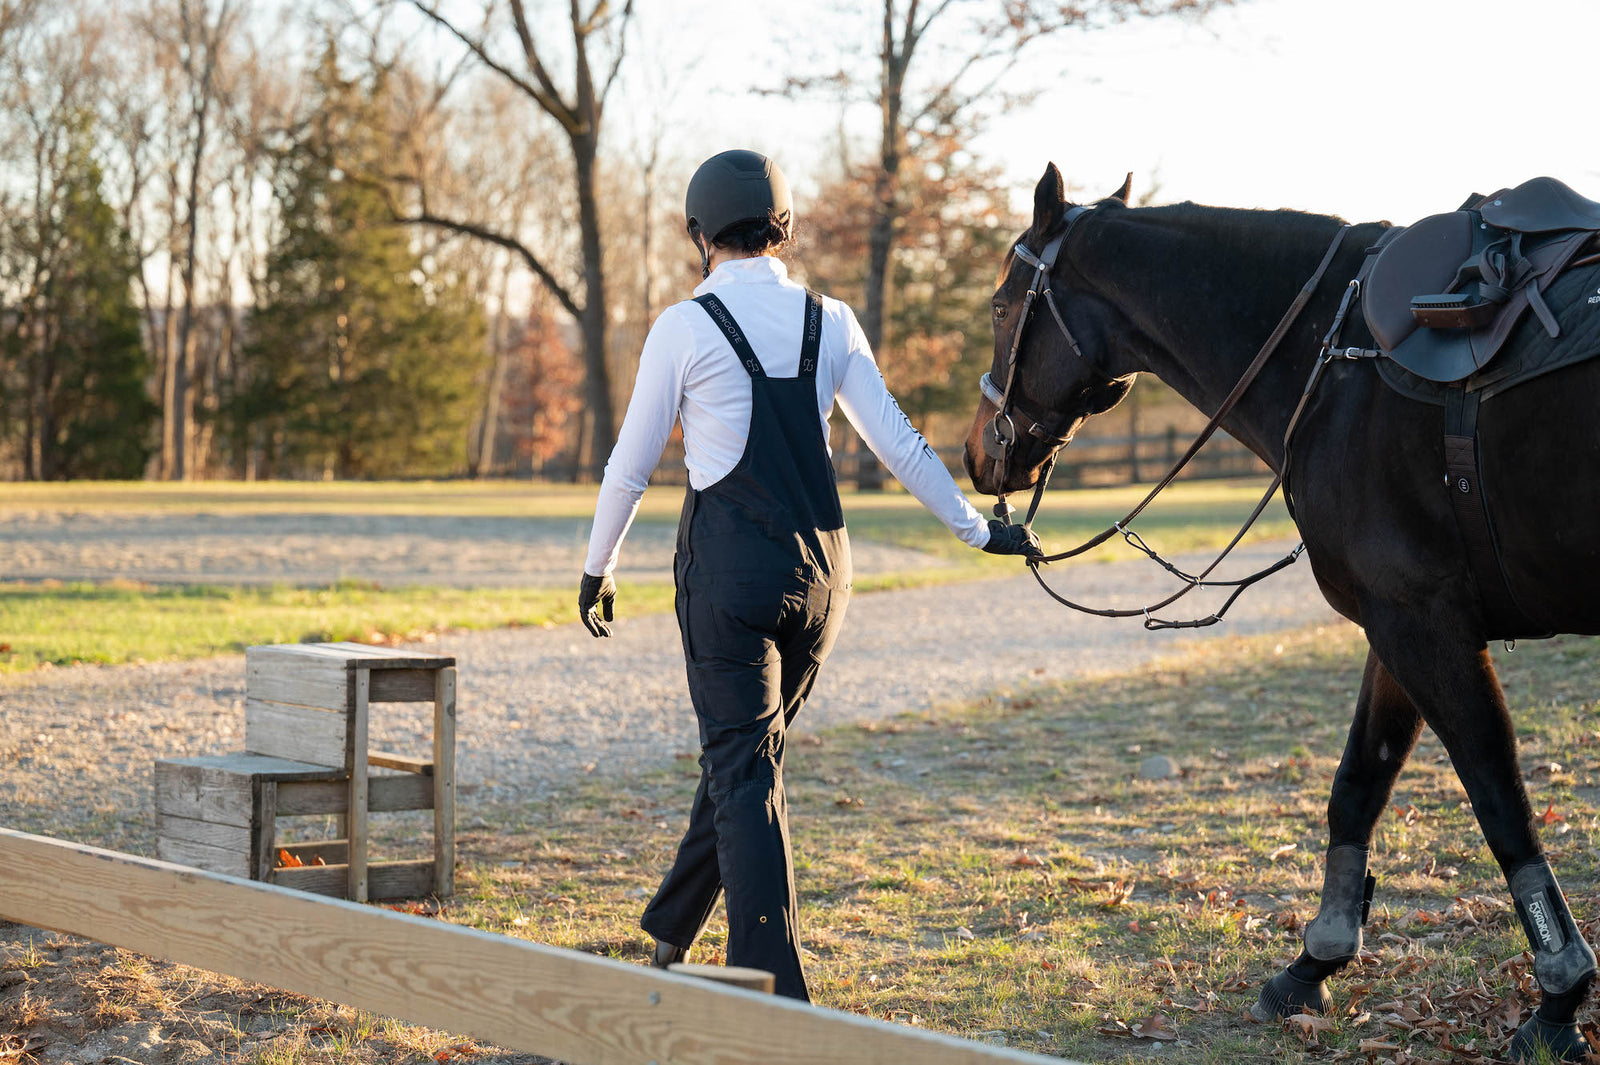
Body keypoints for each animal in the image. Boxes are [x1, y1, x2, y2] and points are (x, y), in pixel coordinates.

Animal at [960, 161, 1600, 1055]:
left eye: (999, 304)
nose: (976, 452)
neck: (1336, 363)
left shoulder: (1424, 625)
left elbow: (1498, 794)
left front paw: (1559, 998)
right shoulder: (1396, 627)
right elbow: (1358, 783)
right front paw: (1314, 961)